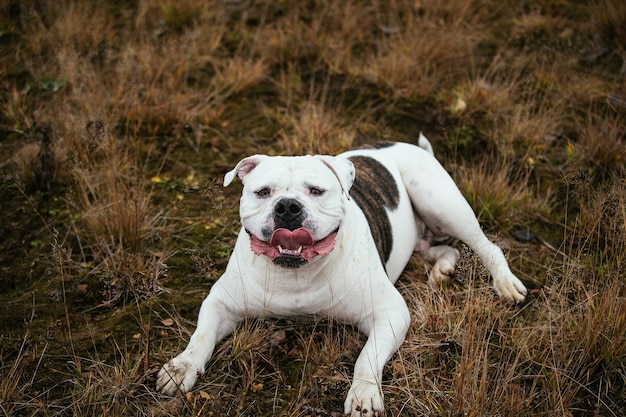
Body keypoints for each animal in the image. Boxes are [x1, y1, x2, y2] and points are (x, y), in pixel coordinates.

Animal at [155, 135, 520, 414]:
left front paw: (363, 394)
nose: (288, 206)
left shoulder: (390, 313)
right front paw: (181, 367)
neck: (296, 274)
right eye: (263, 192)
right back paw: (443, 268)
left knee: (485, 245)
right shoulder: (220, 304)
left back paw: (505, 284)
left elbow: (366, 358)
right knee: (443, 249)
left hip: (441, 202)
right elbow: (200, 337)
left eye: (316, 191)